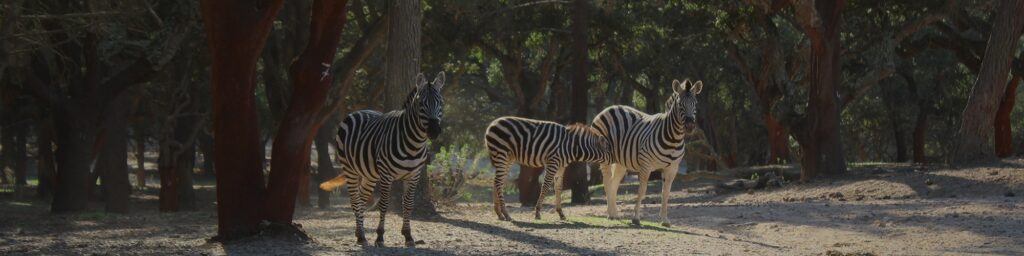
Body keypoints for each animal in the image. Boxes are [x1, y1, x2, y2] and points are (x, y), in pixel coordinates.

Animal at [317, 71, 446, 246]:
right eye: (421, 103)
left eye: (441, 103)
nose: (434, 131)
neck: (414, 144)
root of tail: (357, 111)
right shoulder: (386, 174)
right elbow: (384, 204)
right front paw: (379, 236)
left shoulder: (414, 175)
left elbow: (408, 204)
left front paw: (408, 236)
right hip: (350, 169)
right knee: (355, 200)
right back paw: (362, 236)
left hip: (369, 174)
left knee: (362, 199)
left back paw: (359, 232)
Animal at [593, 78, 704, 226]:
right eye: (680, 104)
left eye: (695, 103)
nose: (690, 126)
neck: (674, 138)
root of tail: (610, 107)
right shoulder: (646, 165)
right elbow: (642, 190)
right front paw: (636, 218)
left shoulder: (672, 168)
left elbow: (666, 193)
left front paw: (665, 220)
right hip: (604, 156)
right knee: (607, 182)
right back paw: (611, 214)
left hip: (621, 161)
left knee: (614, 183)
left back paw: (615, 214)